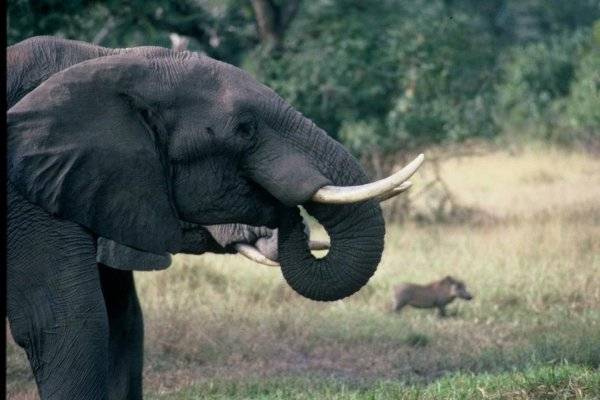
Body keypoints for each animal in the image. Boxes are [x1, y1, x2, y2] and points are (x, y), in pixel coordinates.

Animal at [5, 36, 422, 398]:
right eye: (245, 129)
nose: (286, 207)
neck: (103, 59)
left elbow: (123, 319)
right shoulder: (26, 192)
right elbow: (70, 321)